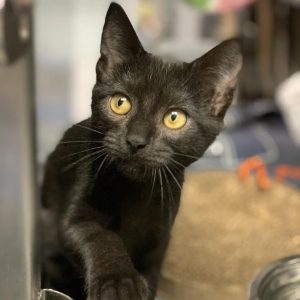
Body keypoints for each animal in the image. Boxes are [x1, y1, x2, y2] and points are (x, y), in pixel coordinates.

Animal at [41, 2, 243, 300]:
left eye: (174, 118)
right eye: (120, 103)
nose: (136, 140)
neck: (134, 193)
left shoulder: (159, 243)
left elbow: (150, 279)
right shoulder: (73, 214)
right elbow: (98, 235)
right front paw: (117, 281)